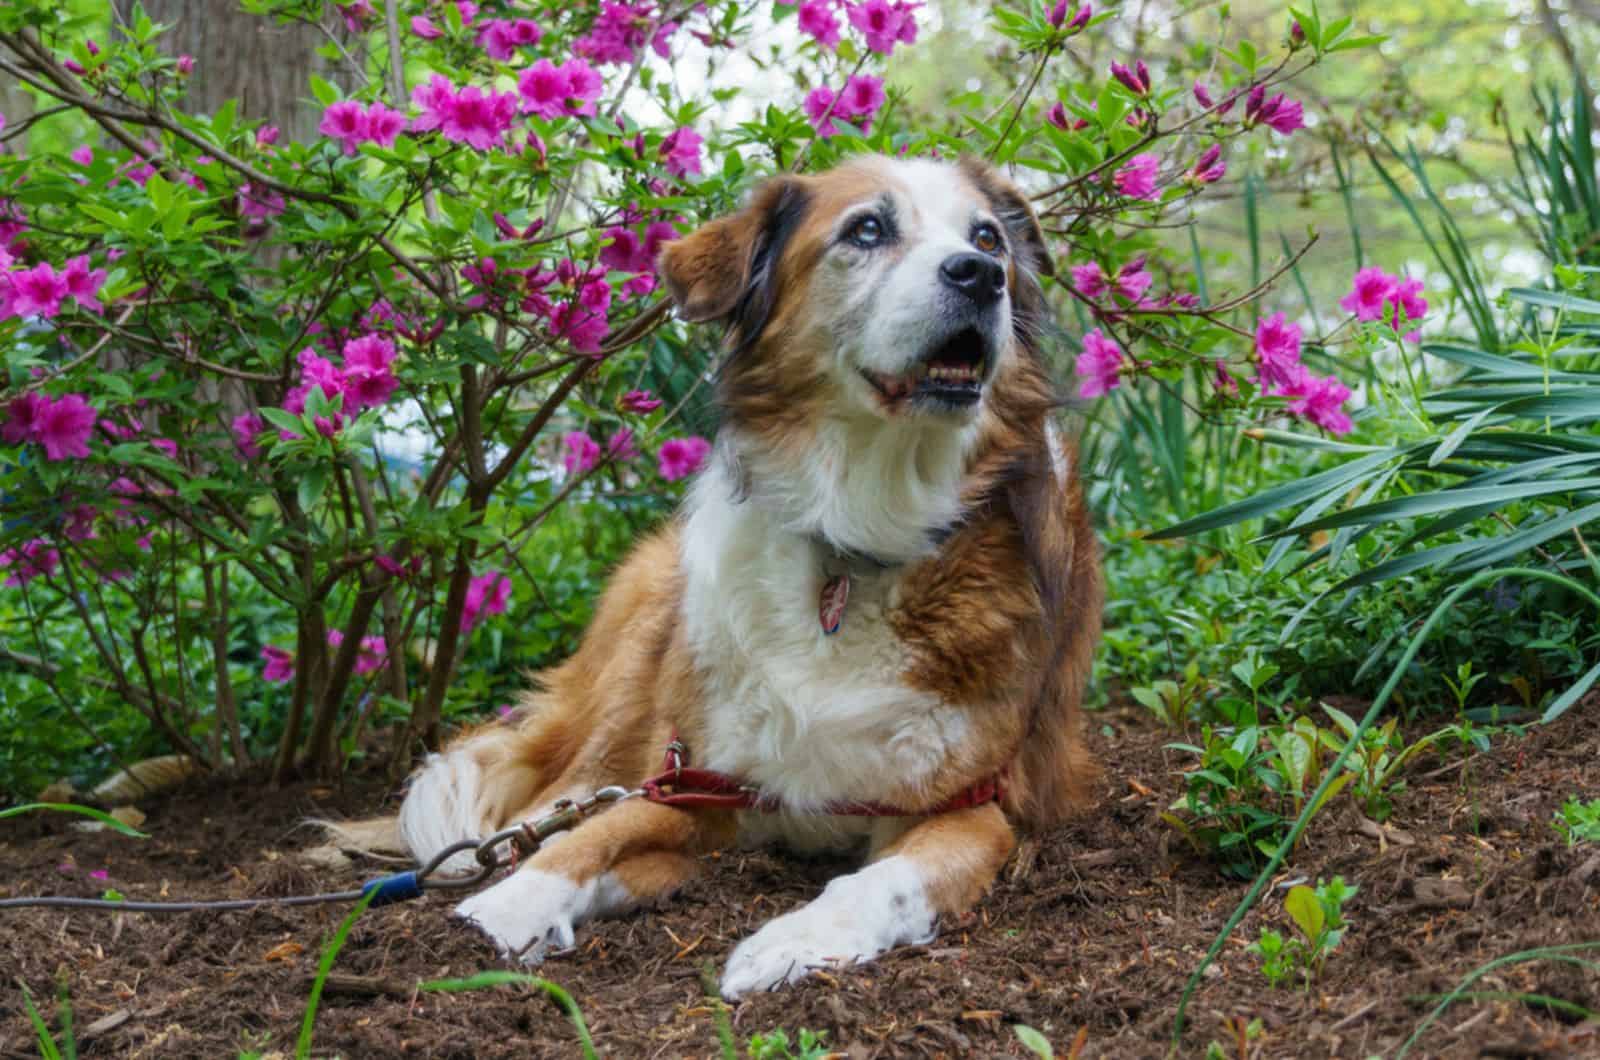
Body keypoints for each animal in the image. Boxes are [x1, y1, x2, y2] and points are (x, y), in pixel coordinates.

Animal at [353, 153, 1100, 999]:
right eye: (866, 230)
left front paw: (791, 945)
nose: (980, 275)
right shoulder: (697, 783)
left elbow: (885, 882)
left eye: (987, 239)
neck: (855, 543)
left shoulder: (974, 807)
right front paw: (504, 909)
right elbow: (596, 832)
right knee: (565, 789)